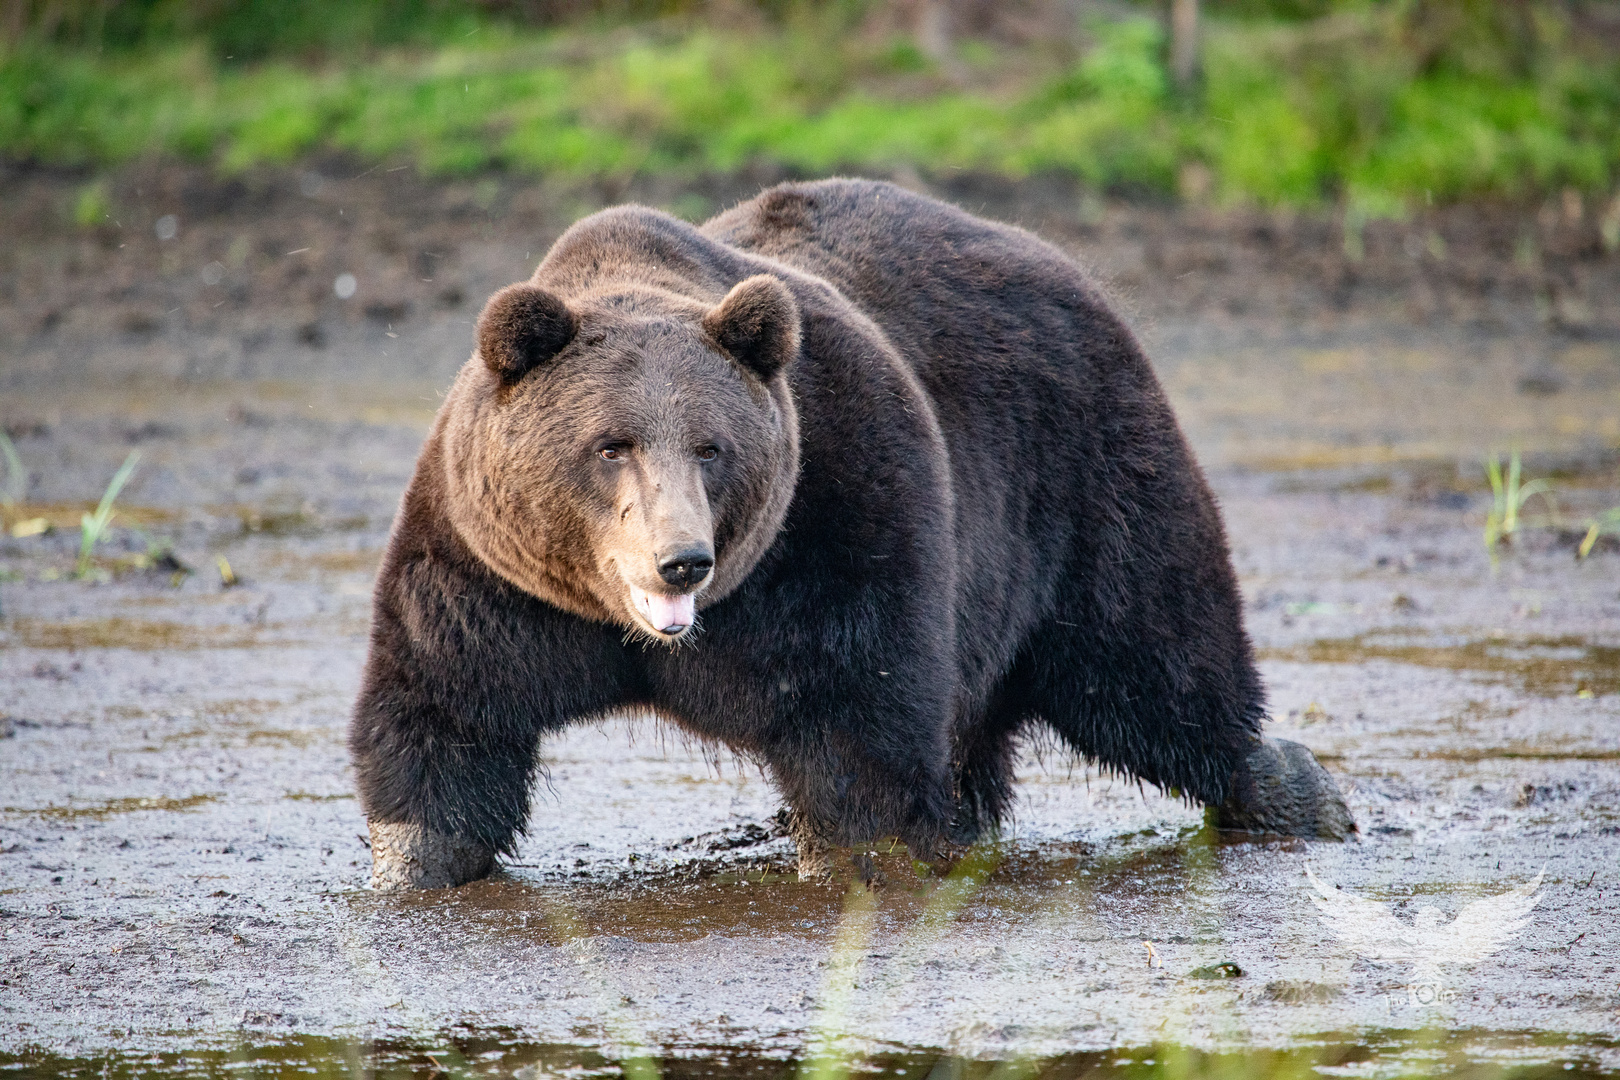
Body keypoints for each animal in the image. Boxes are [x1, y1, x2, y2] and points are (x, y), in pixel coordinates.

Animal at [354, 175, 1354, 887]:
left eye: (711, 447)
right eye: (611, 446)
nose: (681, 561)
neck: (634, 631)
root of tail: (1055, 259)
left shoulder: (842, 519)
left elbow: (858, 731)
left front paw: (860, 857)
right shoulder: (485, 576)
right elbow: (444, 724)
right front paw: (413, 865)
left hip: (1080, 473)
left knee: (1152, 658)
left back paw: (1291, 789)